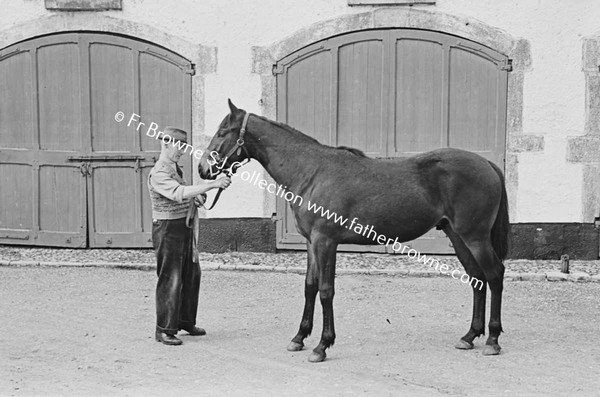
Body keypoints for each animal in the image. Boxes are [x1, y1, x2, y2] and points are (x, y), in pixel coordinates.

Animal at [199, 99, 508, 362]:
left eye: (223, 132)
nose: (203, 168)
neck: (312, 173)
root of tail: (486, 164)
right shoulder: (311, 243)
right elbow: (310, 287)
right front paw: (299, 338)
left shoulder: (326, 242)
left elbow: (326, 291)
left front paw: (322, 345)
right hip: (457, 236)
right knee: (477, 278)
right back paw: (469, 336)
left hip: (475, 237)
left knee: (494, 275)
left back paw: (492, 340)